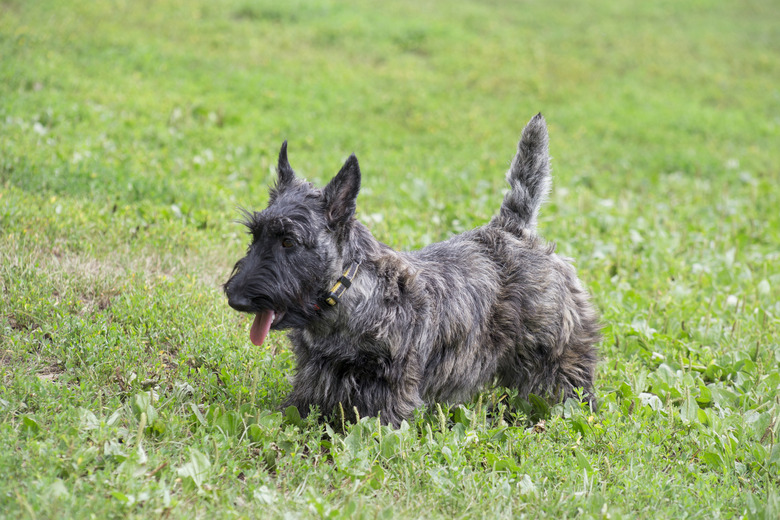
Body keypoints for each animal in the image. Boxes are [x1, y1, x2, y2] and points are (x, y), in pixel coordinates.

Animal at [222, 114, 600, 426]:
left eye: (289, 241)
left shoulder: (390, 390)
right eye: (255, 234)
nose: (235, 297)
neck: (348, 297)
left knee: (571, 389)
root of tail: (513, 230)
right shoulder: (315, 378)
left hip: (559, 356)